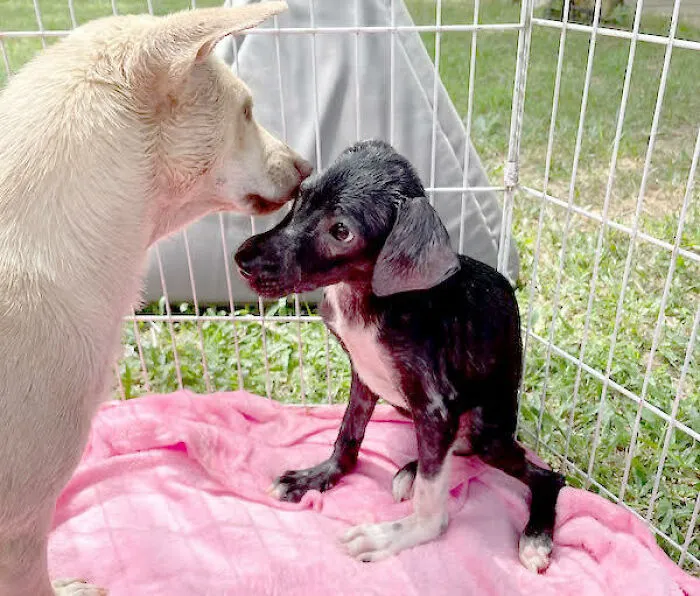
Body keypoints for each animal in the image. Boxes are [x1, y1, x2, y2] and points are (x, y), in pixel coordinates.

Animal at [234, 141, 564, 572]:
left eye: (341, 232)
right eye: (300, 198)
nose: (242, 259)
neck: (366, 296)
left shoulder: (435, 407)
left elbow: (431, 503)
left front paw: (398, 534)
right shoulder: (364, 379)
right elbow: (348, 434)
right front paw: (317, 476)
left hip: (488, 432)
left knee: (546, 477)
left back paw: (536, 535)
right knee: (449, 452)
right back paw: (415, 467)